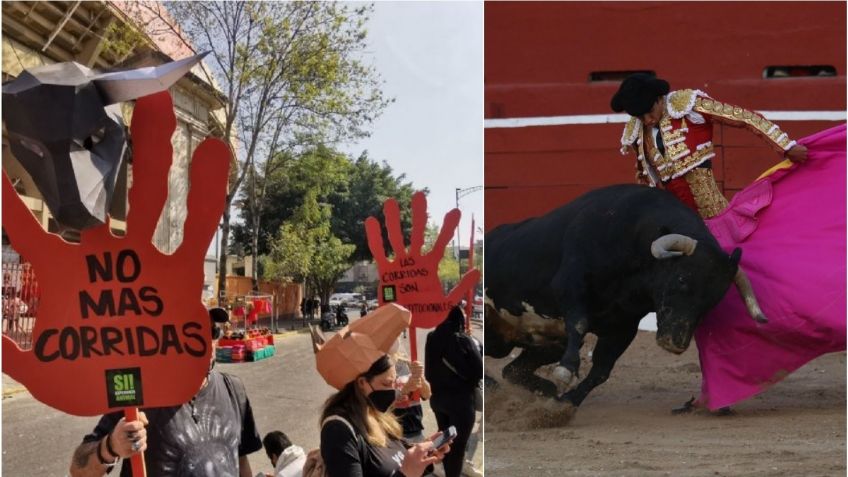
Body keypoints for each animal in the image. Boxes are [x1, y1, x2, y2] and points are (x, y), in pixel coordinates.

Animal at [484, 184, 760, 408]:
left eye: (714, 299)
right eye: (682, 279)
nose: (674, 342)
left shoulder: (623, 326)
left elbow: (601, 370)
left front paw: (565, 404)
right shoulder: (570, 285)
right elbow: (580, 324)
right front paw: (565, 372)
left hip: (543, 342)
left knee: (511, 370)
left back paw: (540, 390)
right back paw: (493, 387)